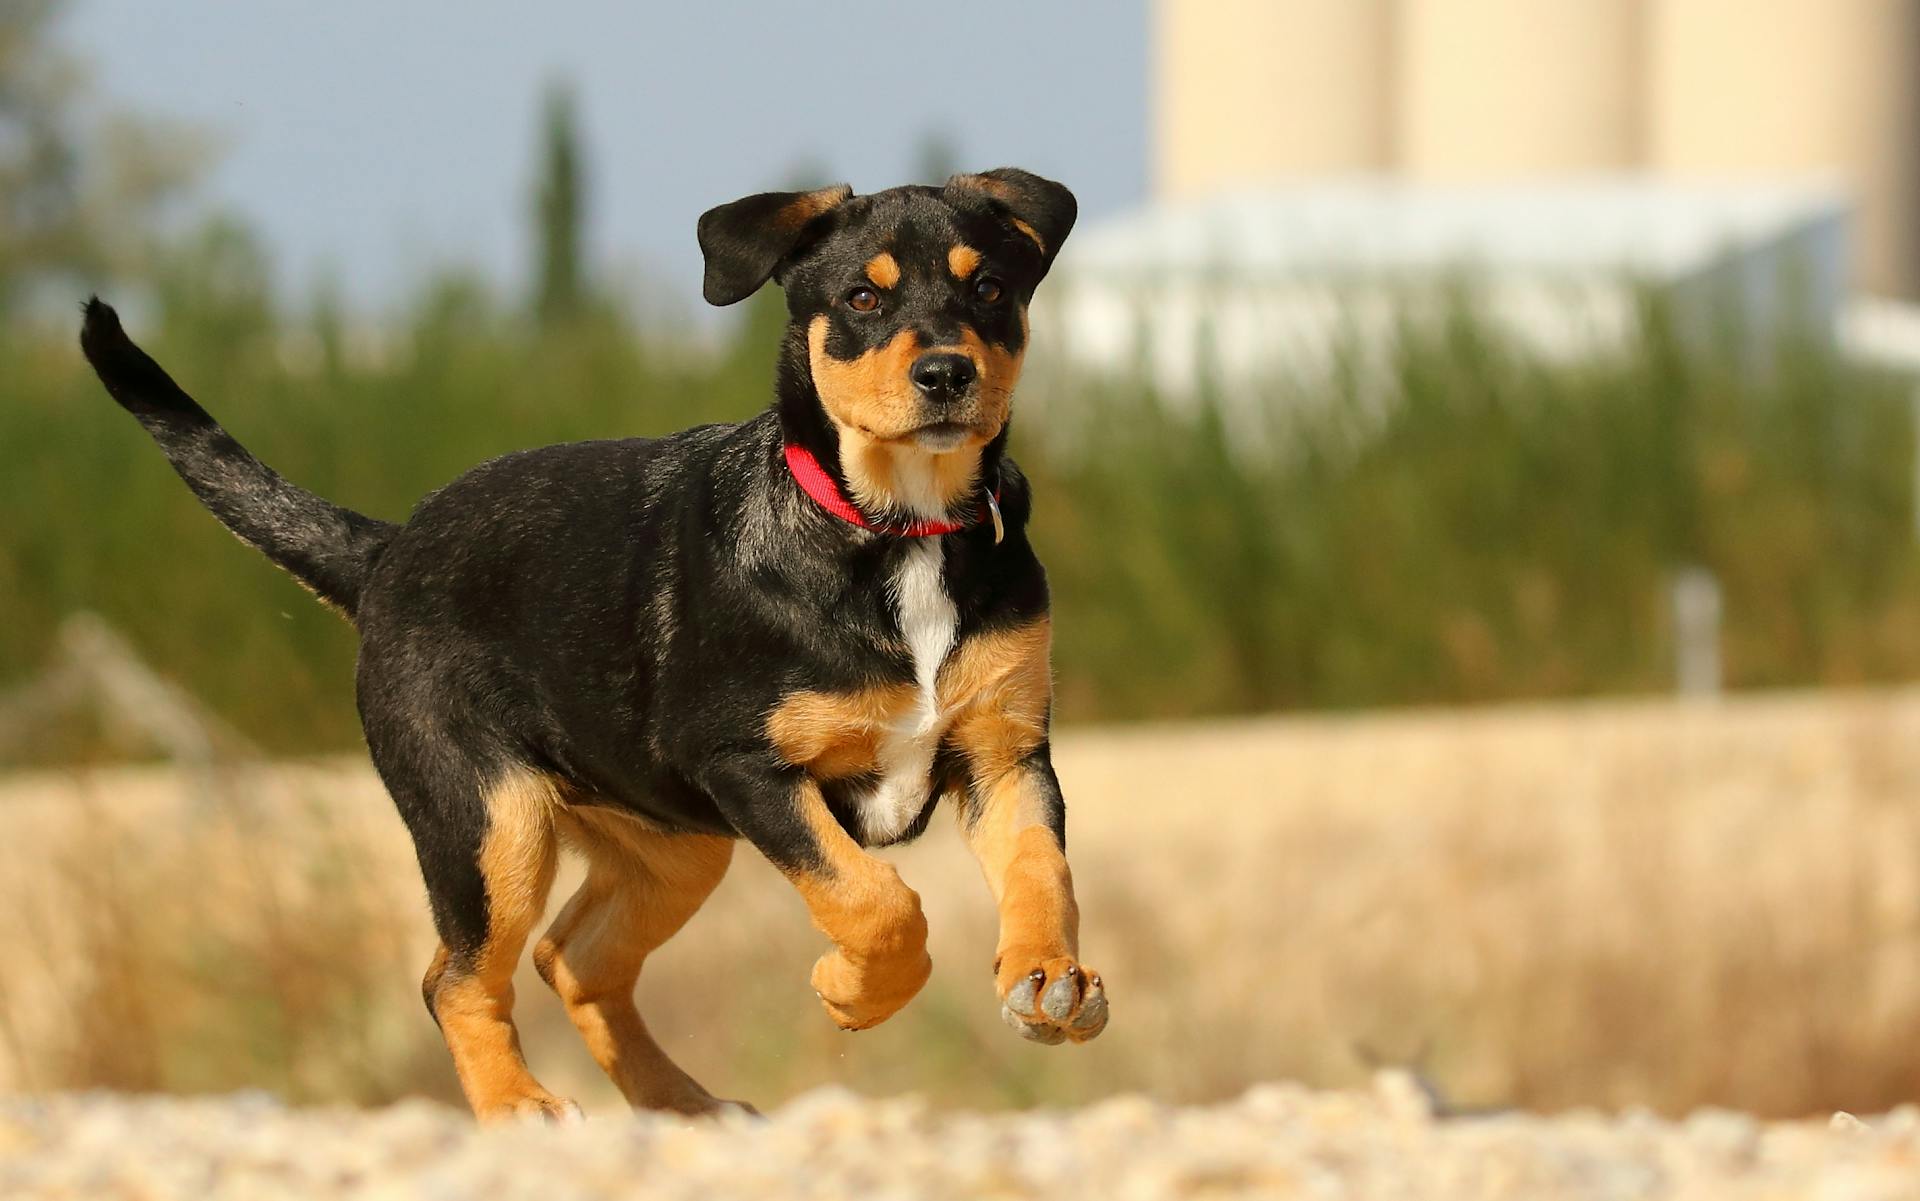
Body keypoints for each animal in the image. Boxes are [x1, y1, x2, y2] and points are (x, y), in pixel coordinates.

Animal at [78, 164, 1113, 1120]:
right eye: (863, 297)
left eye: (990, 289)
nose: (946, 372)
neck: (898, 531)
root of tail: (387, 552)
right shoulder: (743, 764)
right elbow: (874, 898)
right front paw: (855, 993)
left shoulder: (1004, 752)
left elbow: (1042, 868)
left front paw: (1048, 978)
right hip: (490, 822)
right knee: (457, 977)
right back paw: (518, 1108)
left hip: (671, 843)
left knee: (572, 958)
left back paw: (686, 1105)